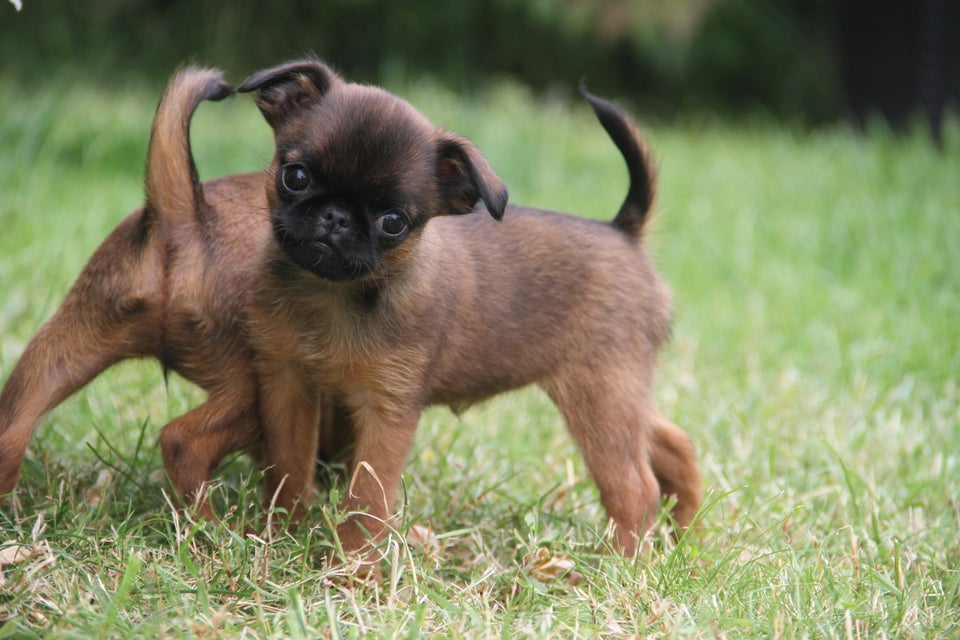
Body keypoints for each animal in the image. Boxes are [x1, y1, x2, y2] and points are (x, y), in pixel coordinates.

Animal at [0, 67, 270, 516]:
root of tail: (189, 217)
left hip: (63, 347)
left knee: (10, 434)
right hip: (252, 392)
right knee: (183, 441)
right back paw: (214, 524)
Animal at [236, 57, 700, 564]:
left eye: (393, 222)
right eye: (295, 177)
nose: (336, 217)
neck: (335, 293)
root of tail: (623, 232)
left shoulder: (387, 411)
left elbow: (367, 501)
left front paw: (352, 568)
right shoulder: (287, 381)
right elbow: (288, 470)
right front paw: (275, 536)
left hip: (600, 395)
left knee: (635, 488)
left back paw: (615, 565)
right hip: (619, 394)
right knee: (674, 445)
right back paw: (686, 535)